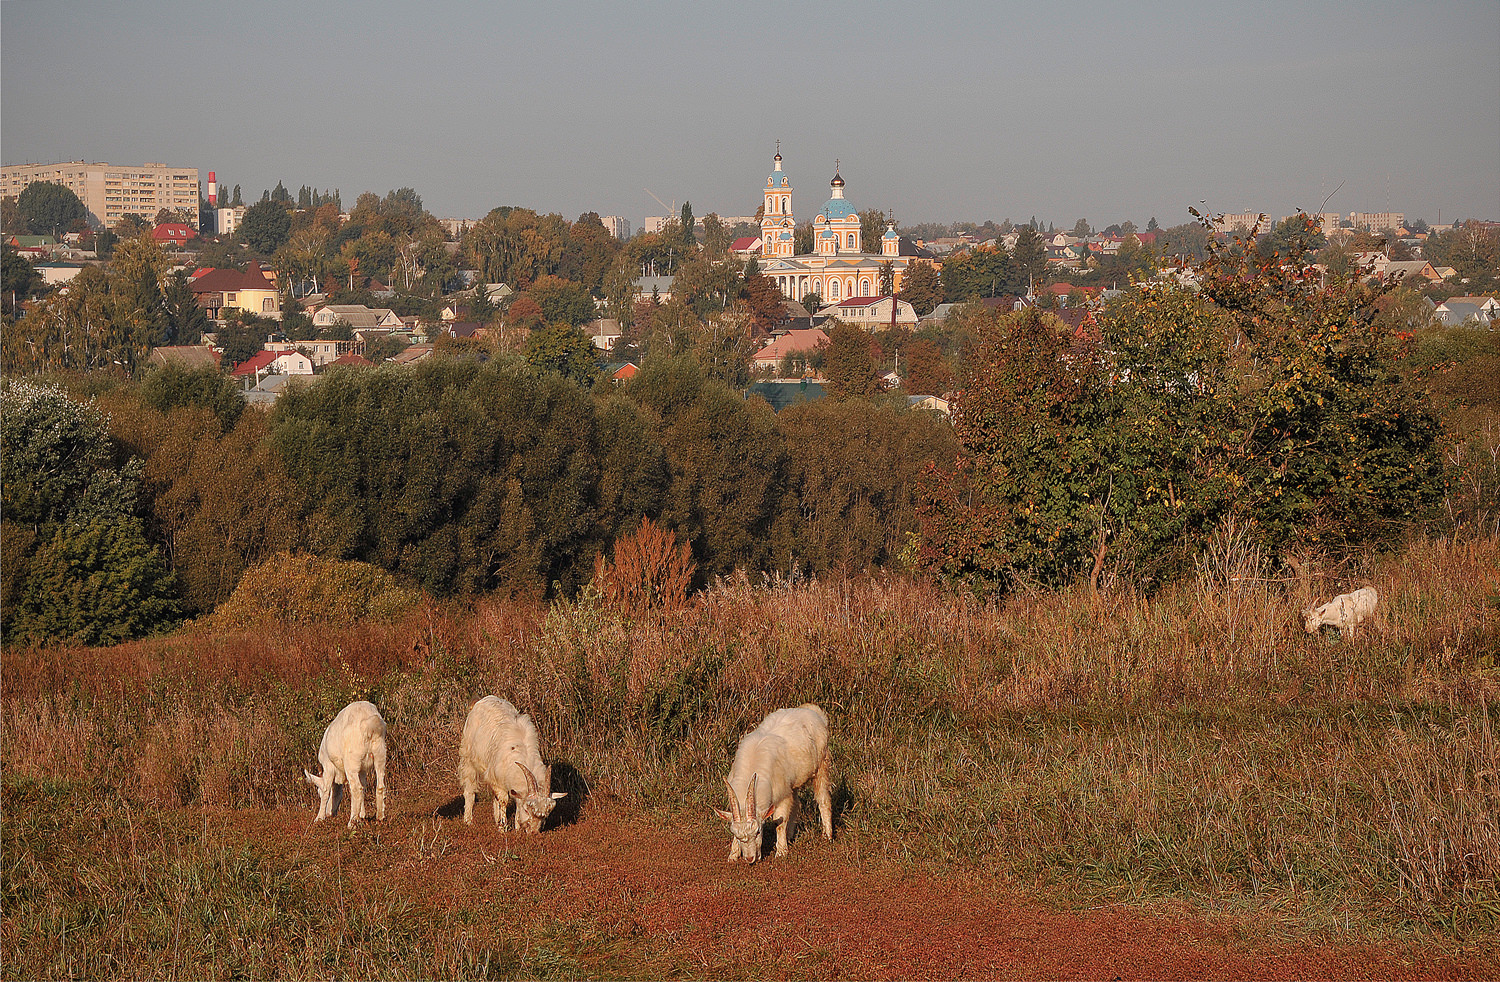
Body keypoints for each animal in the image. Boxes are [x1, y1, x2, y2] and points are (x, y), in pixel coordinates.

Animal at [301, 698, 387, 827]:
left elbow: (326, 790)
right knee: (379, 785)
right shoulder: (362, 770)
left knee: (356, 788)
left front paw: (319, 818)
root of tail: (370, 725)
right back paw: (380, 817)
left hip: (351, 762)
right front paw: (362, 815)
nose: (329, 813)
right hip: (380, 754)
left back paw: (351, 822)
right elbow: (364, 786)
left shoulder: (328, 767)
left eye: (318, 792)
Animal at [453, 695, 564, 833]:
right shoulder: (497, 780)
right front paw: (503, 828)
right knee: (470, 788)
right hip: (468, 756)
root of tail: (481, 700)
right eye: (527, 810)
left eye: (546, 816)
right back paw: (468, 820)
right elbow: (503, 800)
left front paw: (516, 828)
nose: (533, 833)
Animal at [714, 707, 834, 863]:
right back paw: (790, 836)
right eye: (737, 834)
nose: (750, 858)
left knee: (823, 799)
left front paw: (781, 852)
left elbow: (780, 823)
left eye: (758, 831)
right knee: (796, 803)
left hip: (822, 763)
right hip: (793, 782)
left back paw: (827, 835)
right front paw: (733, 855)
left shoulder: (782, 795)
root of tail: (814, 711)